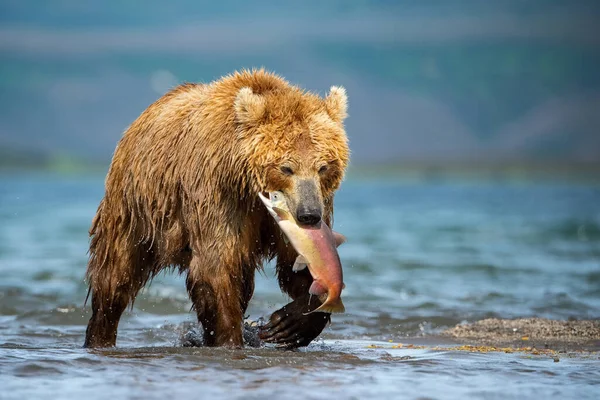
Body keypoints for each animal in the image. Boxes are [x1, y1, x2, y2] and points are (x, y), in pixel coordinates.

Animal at [82, 68, 350, 346]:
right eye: (286, 168)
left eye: (323, 166)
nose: (309, 215)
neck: (248, 186)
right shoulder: (216, 195)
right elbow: (216, 267)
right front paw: (230, 338)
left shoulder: (298, 214)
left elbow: (298, 263)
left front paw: (292, 322)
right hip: (135, 207)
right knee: (115, 275)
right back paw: (100, 334)